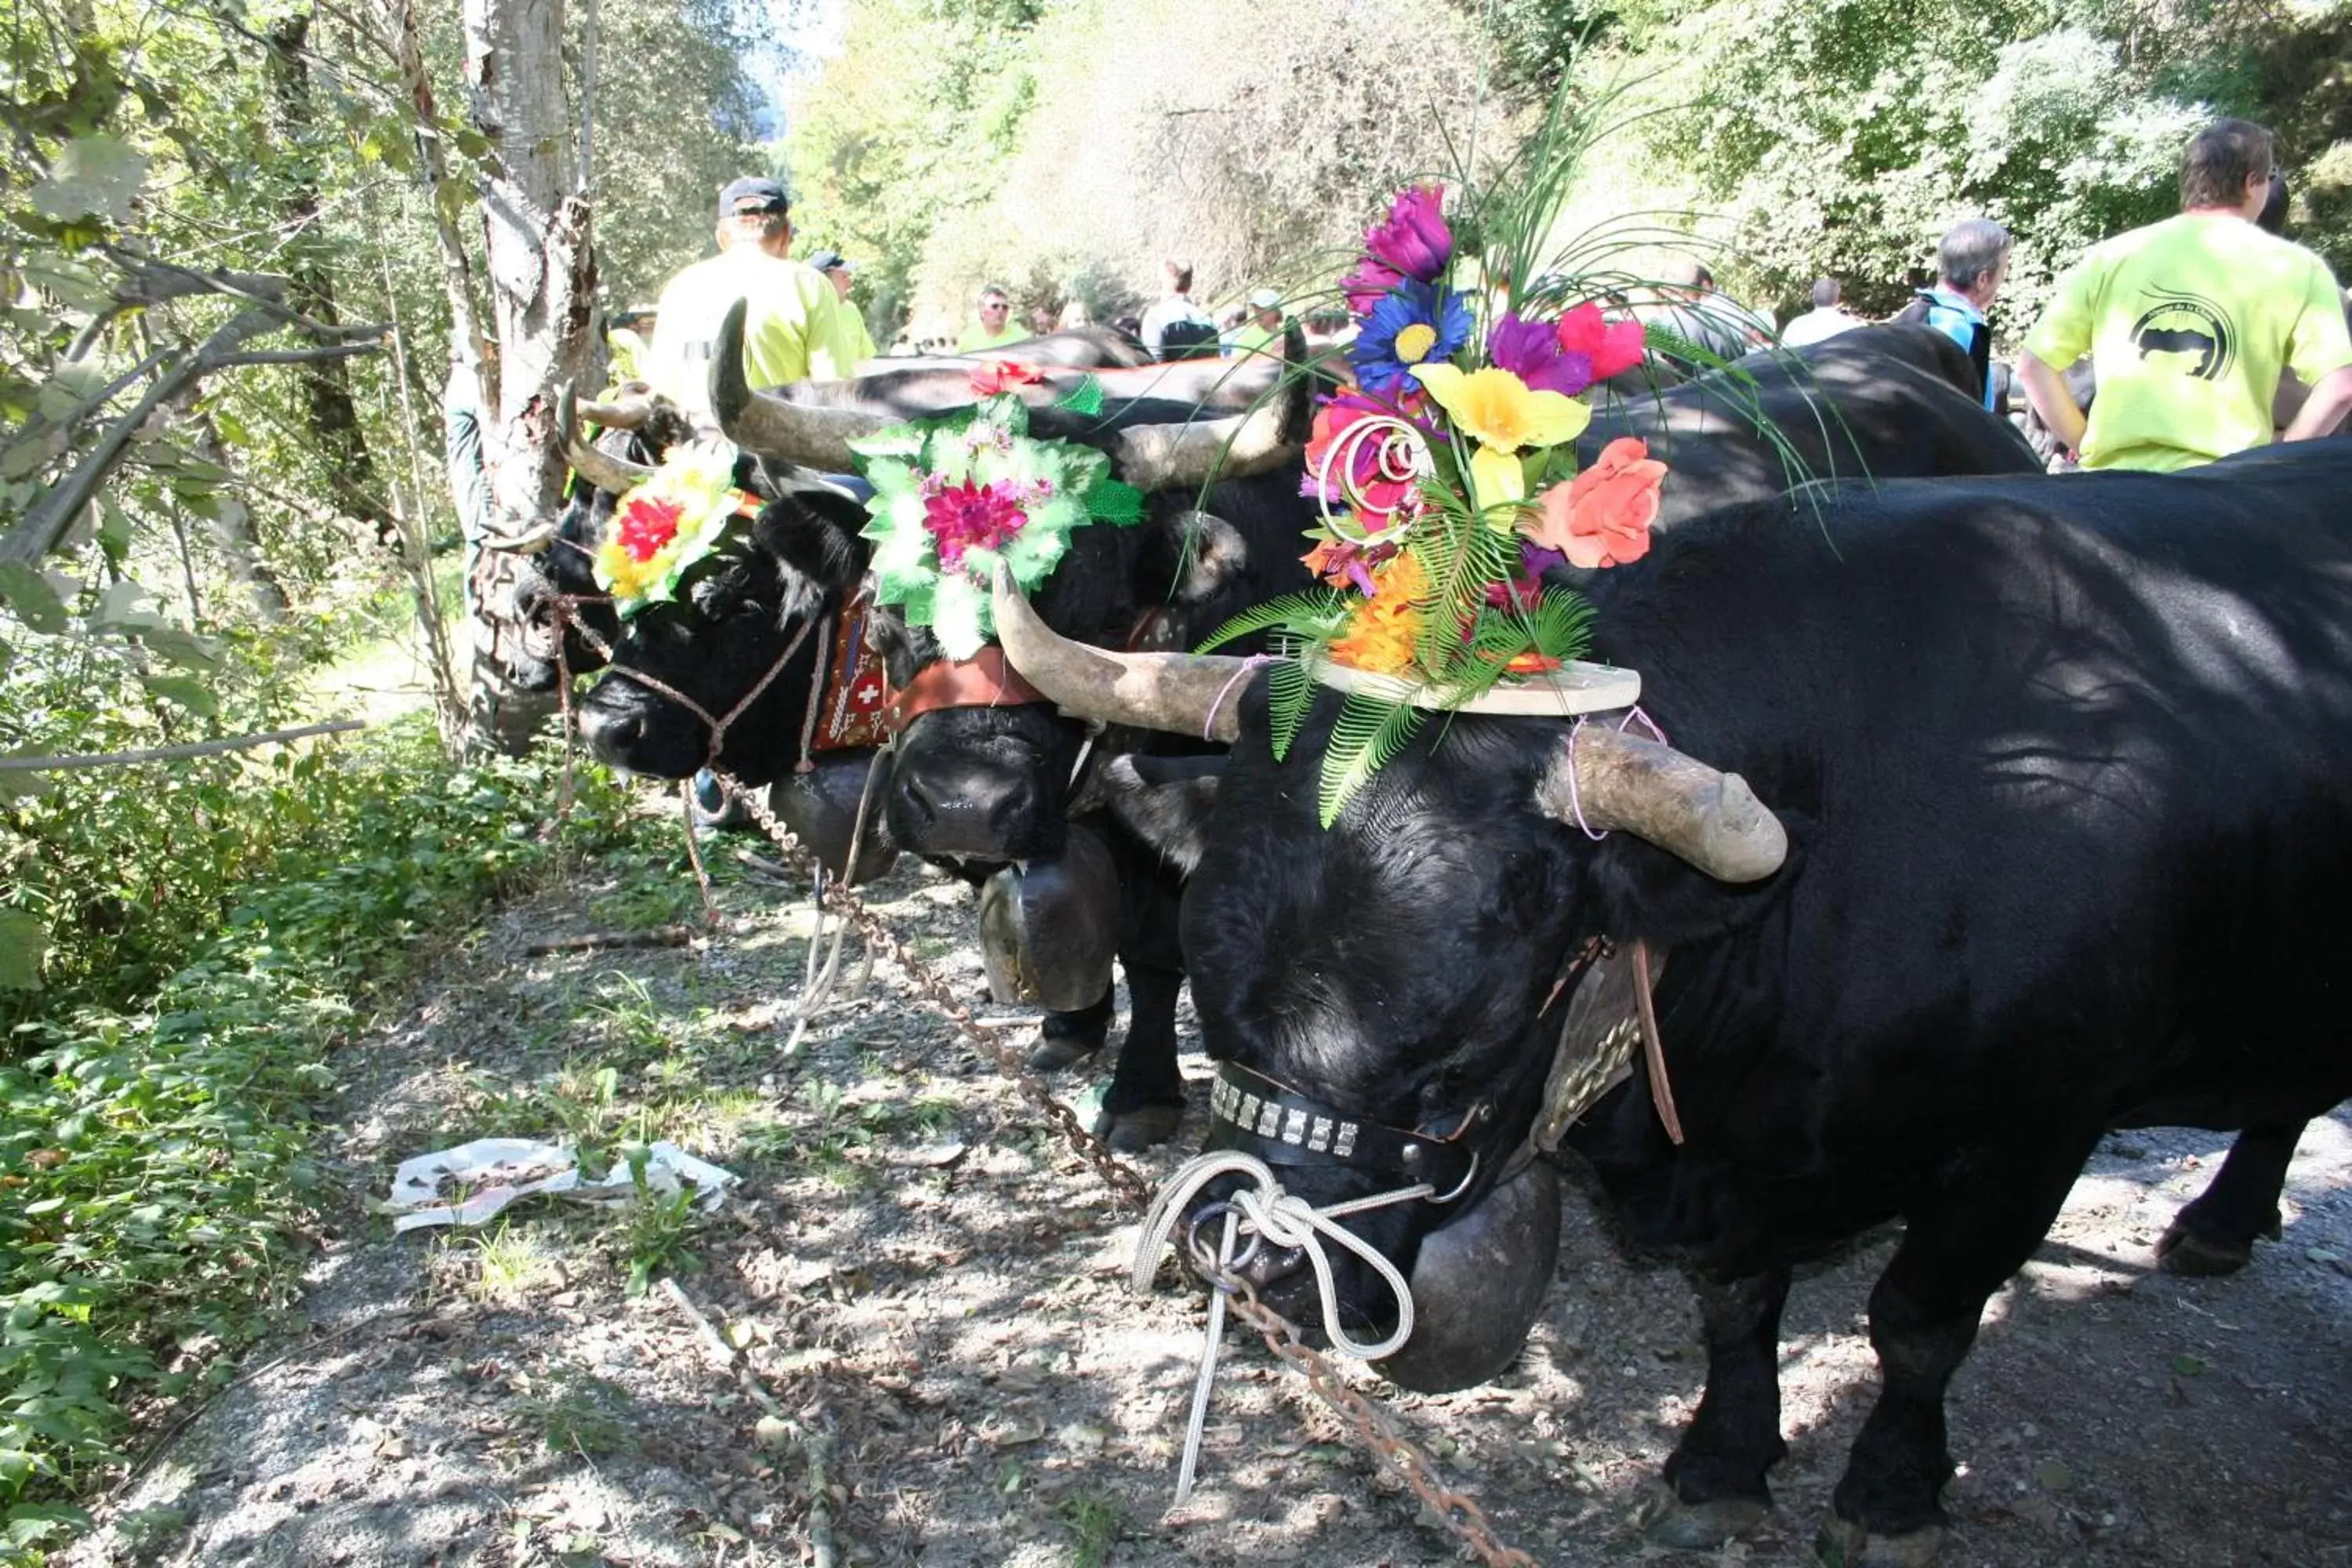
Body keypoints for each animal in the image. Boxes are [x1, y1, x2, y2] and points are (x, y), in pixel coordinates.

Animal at [1002, 441, 2352, 1568]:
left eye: (1463, 1056)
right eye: (1218, 1009)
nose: (1247, 1261)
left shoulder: (2028, 1137)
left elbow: (1919, 1321)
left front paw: (1892, 1495)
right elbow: (1738, 1307)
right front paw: (1721, 1464)